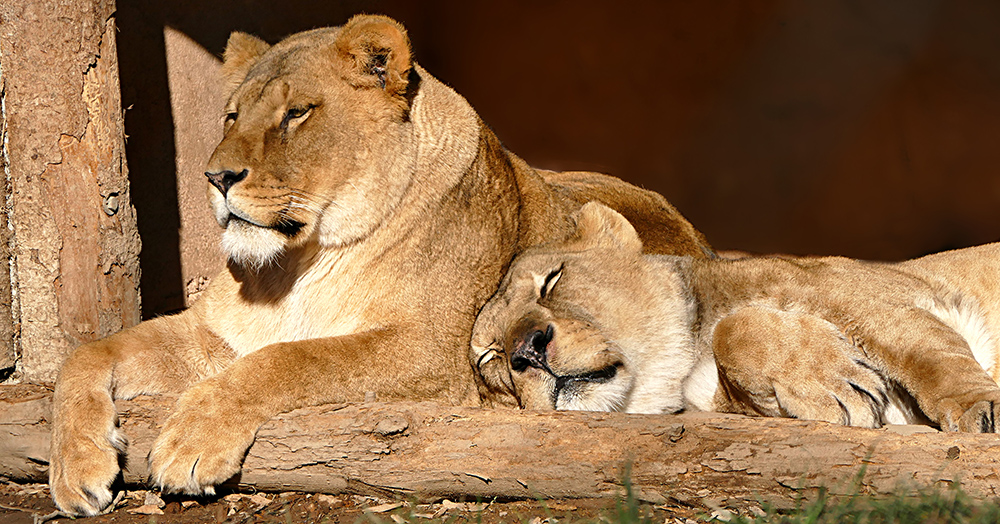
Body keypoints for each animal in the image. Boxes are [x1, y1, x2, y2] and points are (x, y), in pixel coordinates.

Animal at [472, 201, 1000, 430]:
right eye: (490, 358)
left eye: (552, 280)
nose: (527, 350)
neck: (687, 365)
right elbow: (737, 335)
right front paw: (836, 388)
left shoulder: (881, 300)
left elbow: (930, 356)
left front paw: (981, 411)